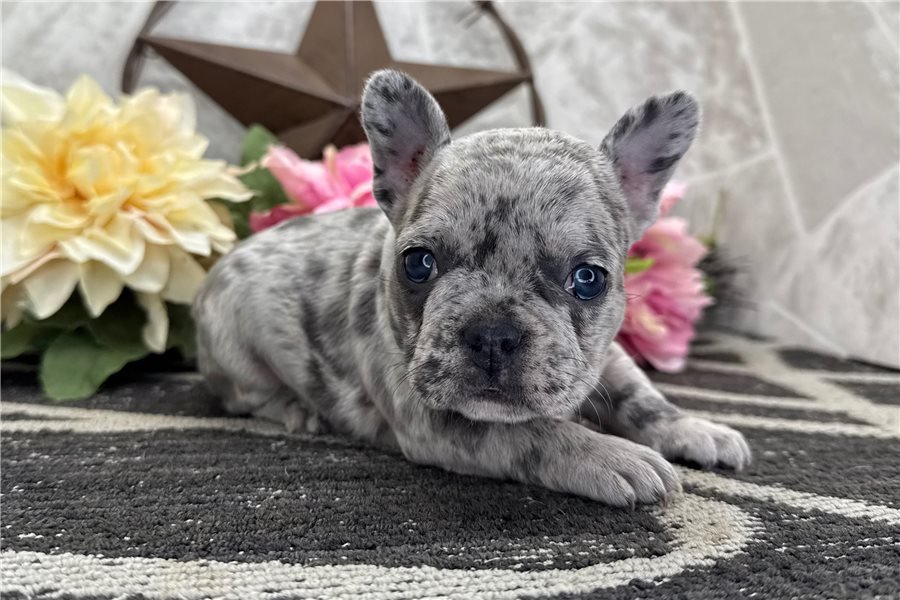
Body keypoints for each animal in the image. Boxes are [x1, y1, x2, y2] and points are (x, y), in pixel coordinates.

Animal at [193, 69, 750, 506]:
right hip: (237, 351)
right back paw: (298, 411)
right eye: (418, 264)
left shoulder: (604, 357)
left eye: (588, 279)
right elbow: (533, 431)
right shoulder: (436, 419)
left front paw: (695, 427)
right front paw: (612, 454)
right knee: (248, 397)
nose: (492, 335)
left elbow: (641, 396)